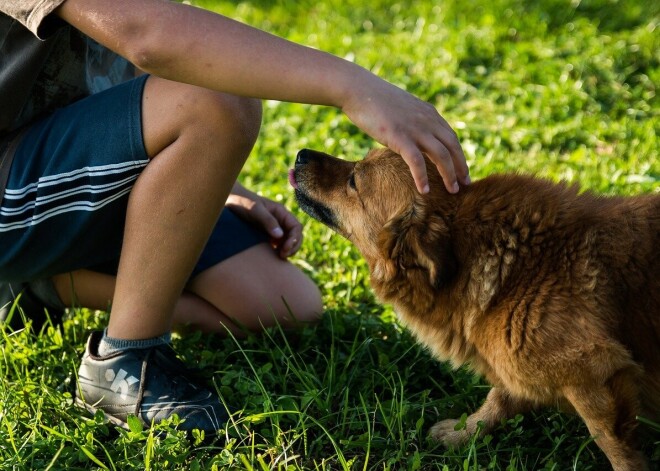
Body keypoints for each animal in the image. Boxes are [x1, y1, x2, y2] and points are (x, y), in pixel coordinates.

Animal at [292, 148, 660, 471]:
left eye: (354, 180)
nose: (301, 155)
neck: (517, 267)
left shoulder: (594, 373)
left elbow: (612, 443)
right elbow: (499, 400)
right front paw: (464, 433)